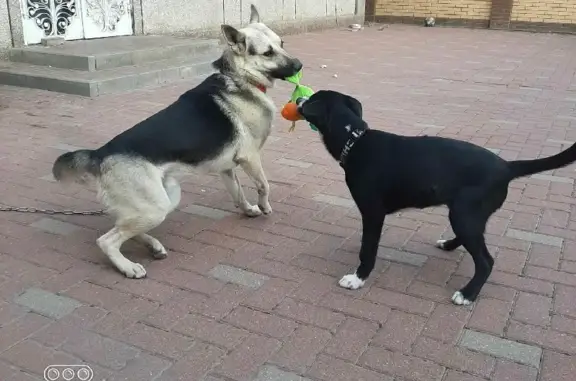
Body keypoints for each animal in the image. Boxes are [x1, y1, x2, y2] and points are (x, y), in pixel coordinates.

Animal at [52, 5, 304, 280]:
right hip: (155, 207)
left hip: (165, 199)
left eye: (282, 44)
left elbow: (237, 194)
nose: (300, 64)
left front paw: (248, 210)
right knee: (107, 240)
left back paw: (153, 246)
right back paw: (128, 266)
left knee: (125, 227)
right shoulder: (250, 158)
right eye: (268, 53)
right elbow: (264, 186)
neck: (239, 78)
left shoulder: (227, 168)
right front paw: (264, 207)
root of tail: (100, 154)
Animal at [294, 90, 576, 306]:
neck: (355, 140)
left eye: (309, 102)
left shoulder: (373, 213)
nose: (298, 99)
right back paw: (449, 246)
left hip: (464, 214)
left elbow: (368, 248)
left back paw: (467, 294)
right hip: (466, 214)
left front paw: (357, 278)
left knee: (485, 261)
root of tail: (507, 166)